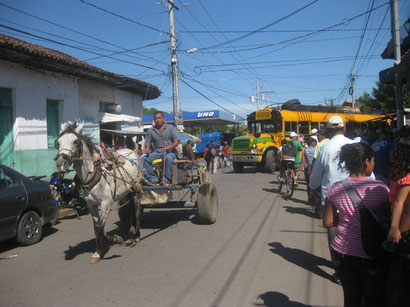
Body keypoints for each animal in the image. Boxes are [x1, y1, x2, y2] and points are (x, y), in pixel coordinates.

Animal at [54, 121, 143, 264]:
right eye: (58, 142)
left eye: (75, 141)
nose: (61, 164)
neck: (93, 173)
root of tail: (133, 153)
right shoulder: (91, 205)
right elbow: (96, 228)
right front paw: (98, 252)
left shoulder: (106, 203)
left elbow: (100, 226)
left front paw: (115, 239)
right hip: (125, 192)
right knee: (129, 209)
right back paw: (131, 230)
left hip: (136, 190)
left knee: (137, 211)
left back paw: (137, 236)